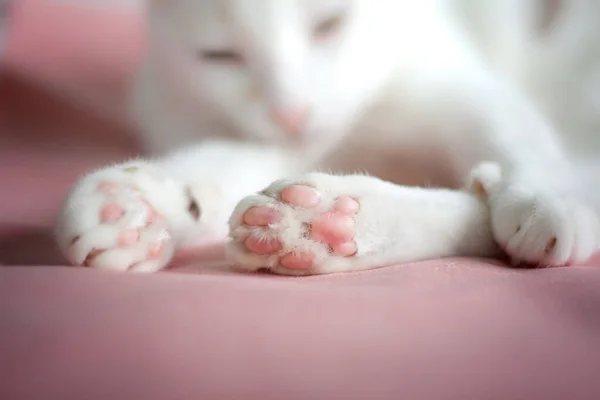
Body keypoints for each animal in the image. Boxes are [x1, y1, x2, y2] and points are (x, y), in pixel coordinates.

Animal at [54, 0, 596, 276]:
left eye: (330, 26)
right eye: (219, 55)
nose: (291, 112)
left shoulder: (454, 85)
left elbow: (513, 130)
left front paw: (548, 196)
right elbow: (221, 162)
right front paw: (141, 203)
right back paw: (323, 224)